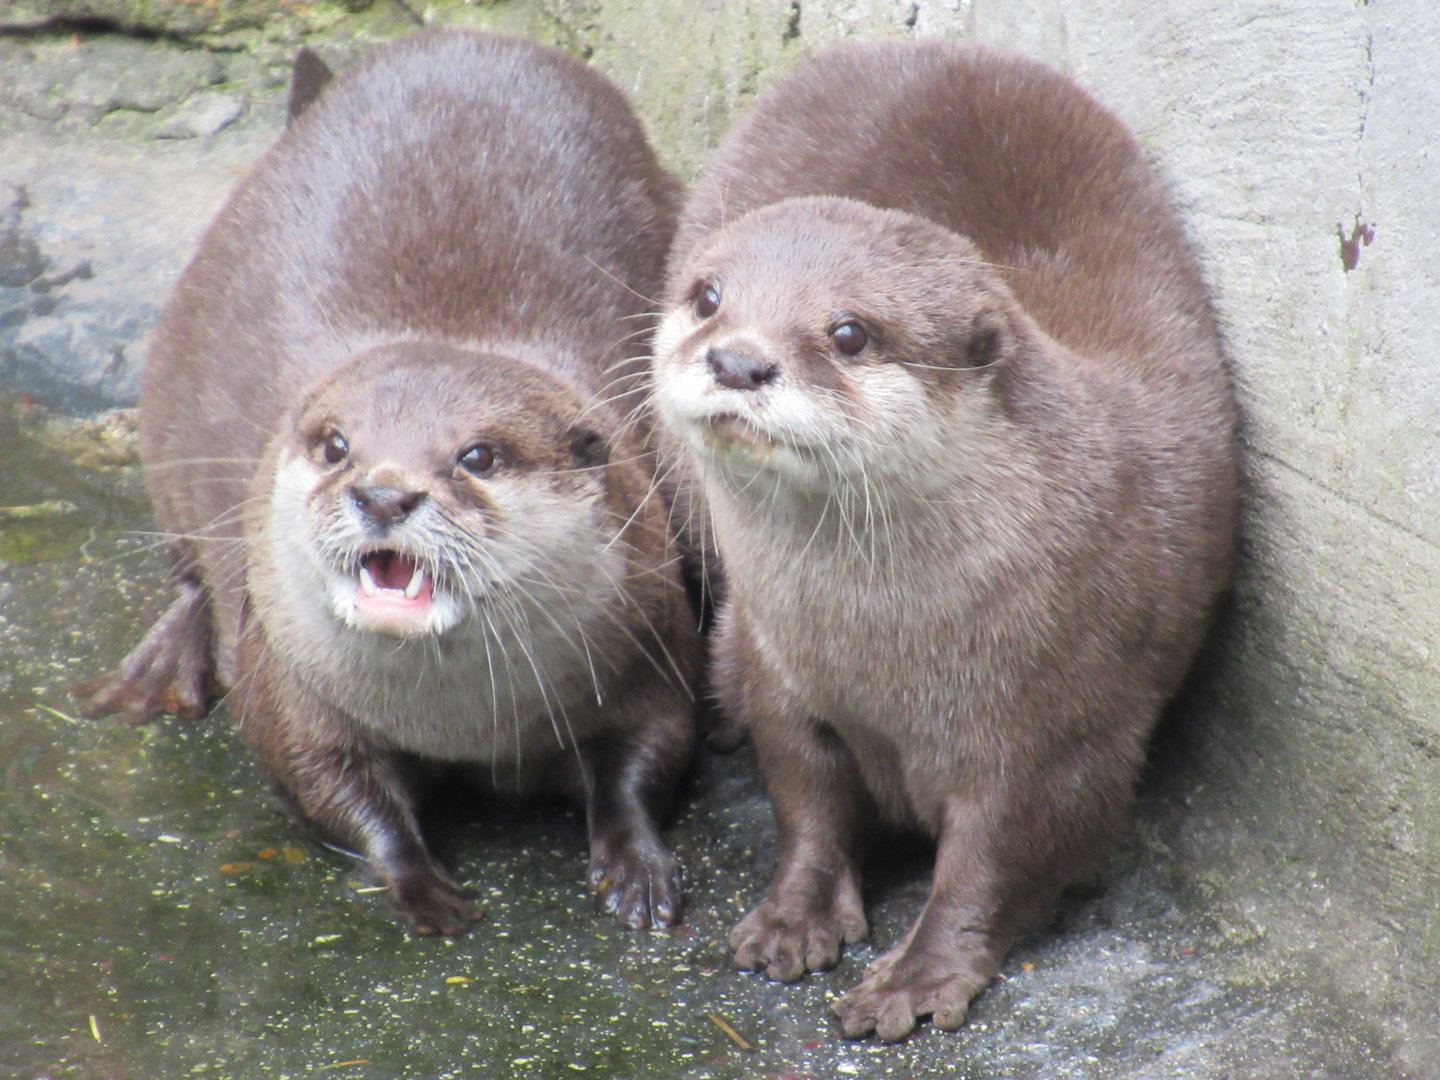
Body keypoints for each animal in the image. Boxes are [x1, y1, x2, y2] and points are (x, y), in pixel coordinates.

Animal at [76, 30, 698, 934]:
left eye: (477, 456)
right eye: (337, 445)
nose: (383, 494)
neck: (464, 726)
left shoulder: (648, 634)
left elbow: (648, 754)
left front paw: (637, 867)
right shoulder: (288, 682)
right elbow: (329, 785)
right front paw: (419, 884)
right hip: (171, 401)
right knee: (190, 571)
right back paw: (153, 678)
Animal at [651, 40, 1238, 1039]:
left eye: (849, 332)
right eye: (708, 297)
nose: (737, 358)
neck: (884, 651)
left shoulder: (1059, 724)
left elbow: (997, 860)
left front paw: (918, 976)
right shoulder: (781, 666)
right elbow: (804, 796)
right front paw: (794, 918)